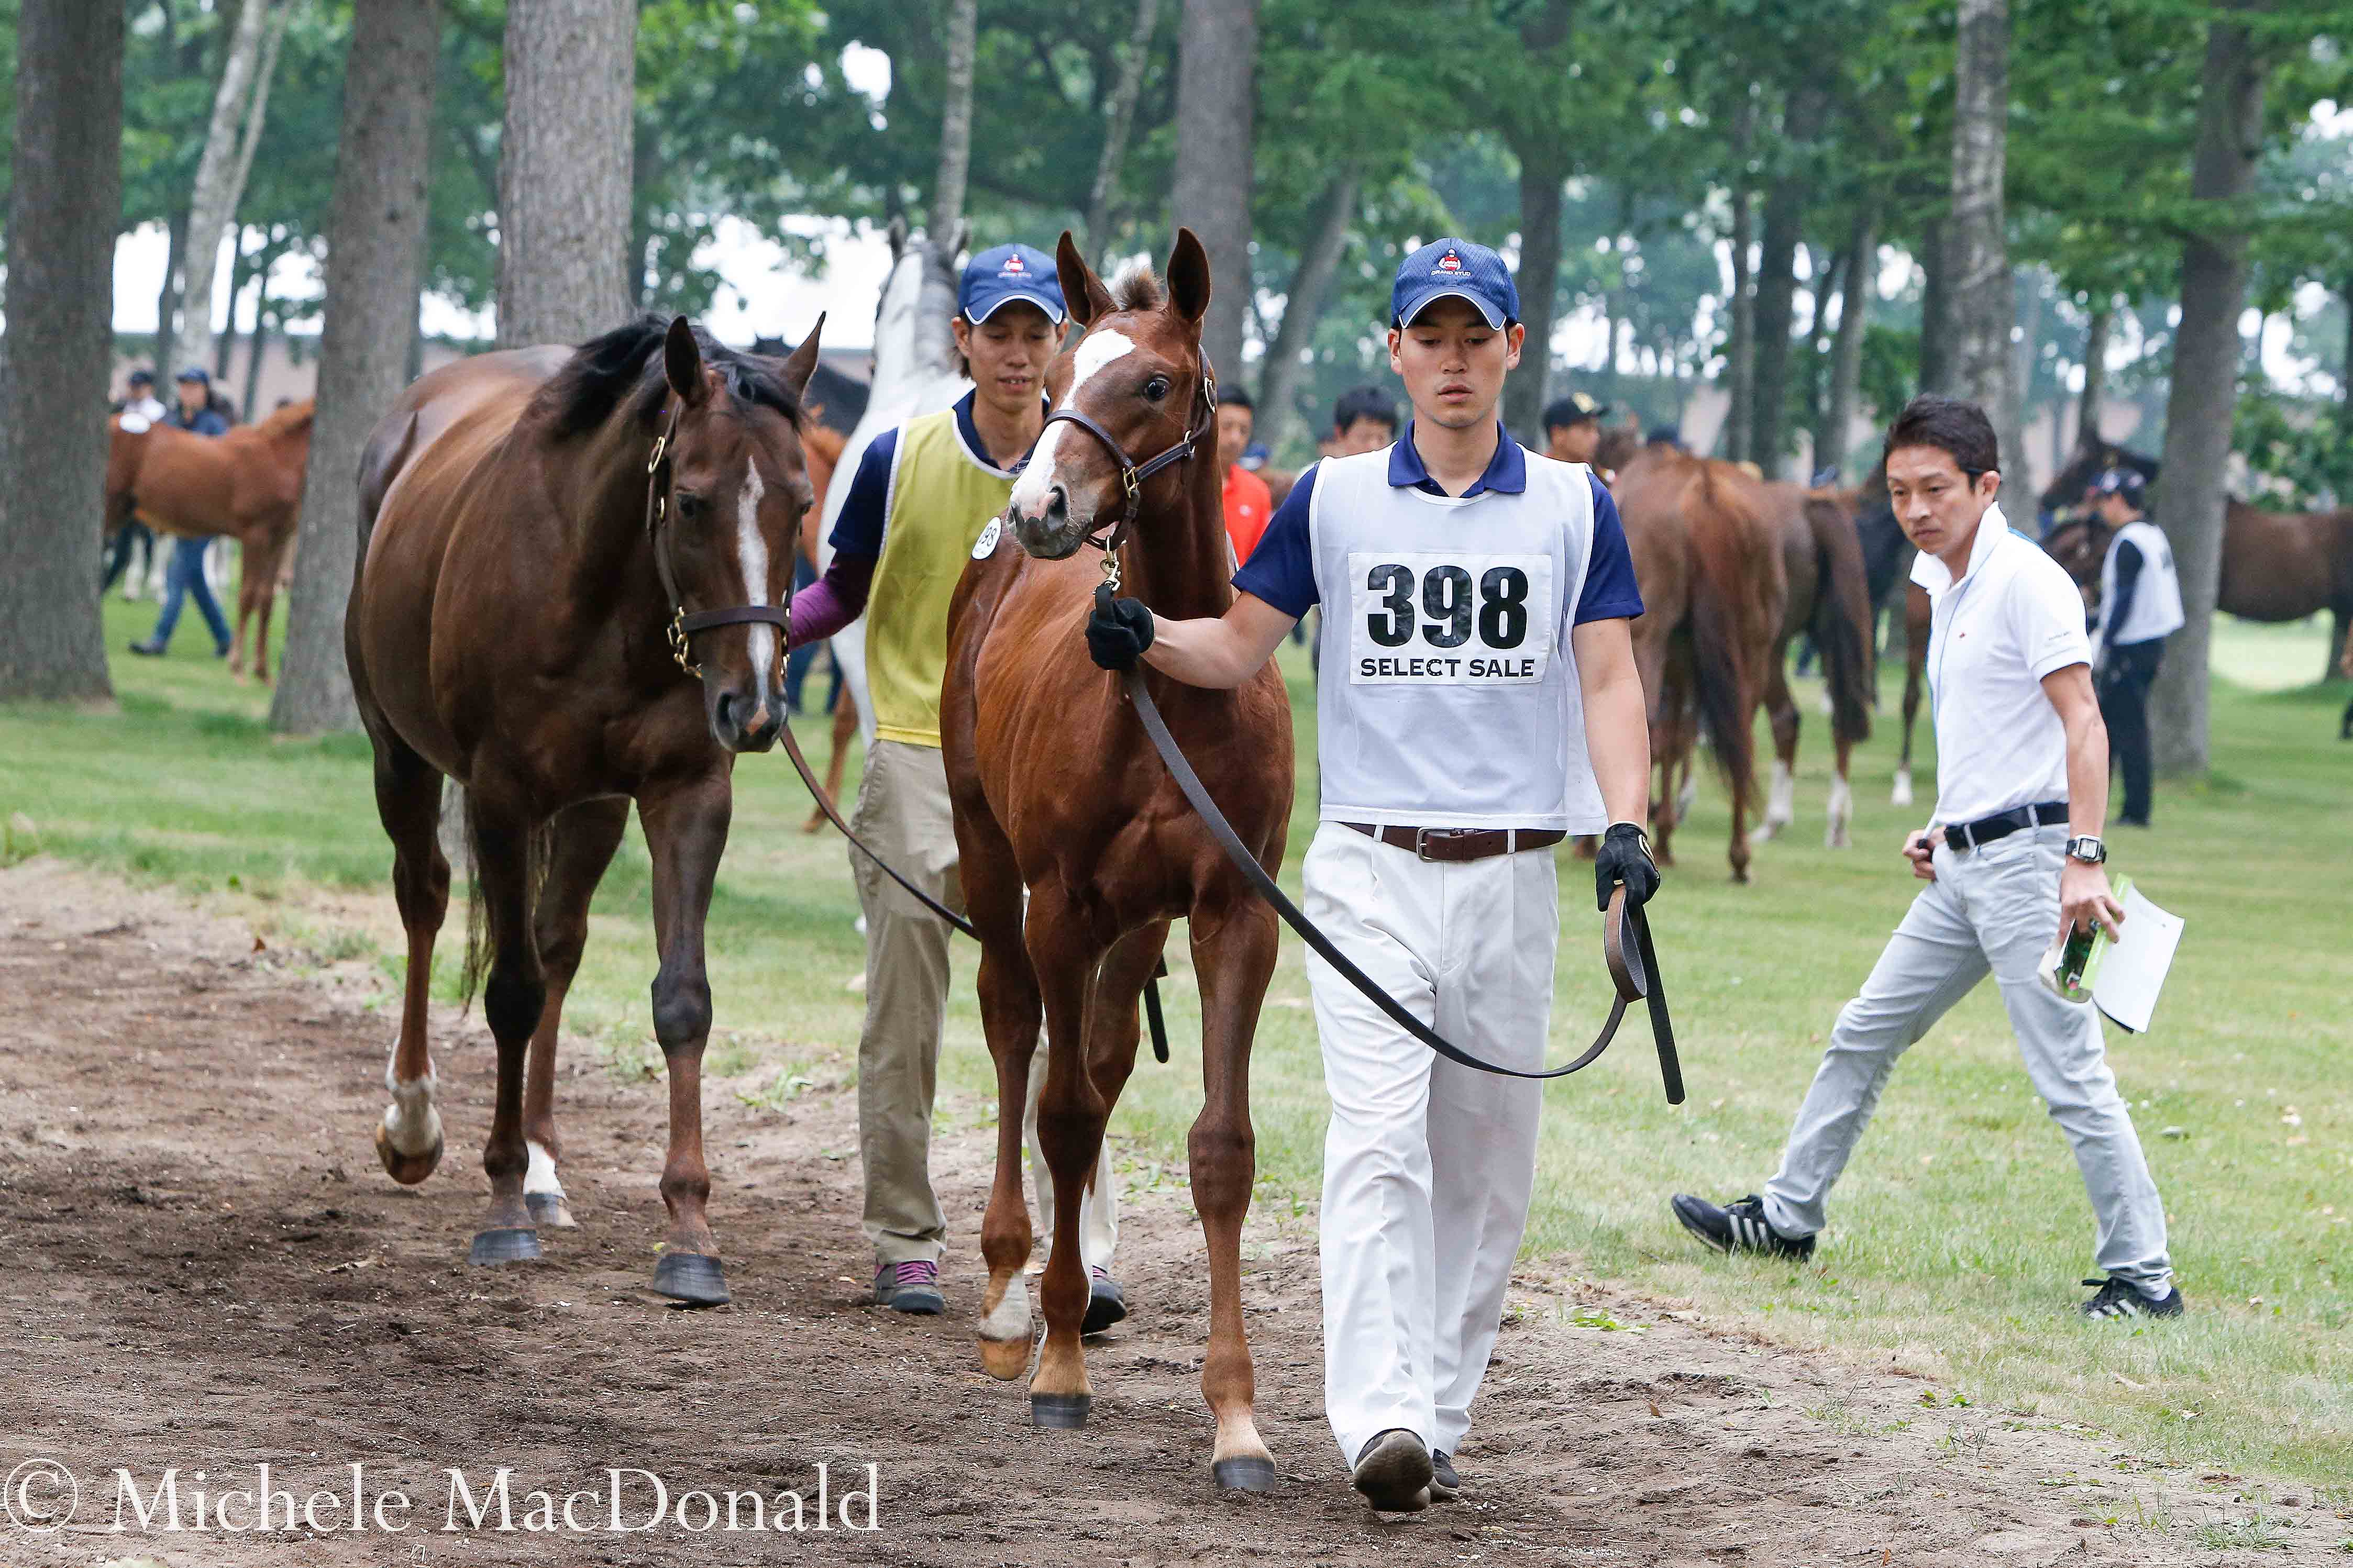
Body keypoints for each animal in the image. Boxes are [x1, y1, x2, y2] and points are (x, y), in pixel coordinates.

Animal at [104, 399, 313, 682]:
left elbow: (266, 599)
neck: (279, 458)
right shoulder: (255, 536)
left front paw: (262, 671)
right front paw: (237, 666)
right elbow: (248, 596)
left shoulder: (279, 540)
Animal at [343, 313, 828, 1307]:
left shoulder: (687, 795)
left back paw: (541, 1168)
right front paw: (496, 1210)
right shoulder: (499, 795)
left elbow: (680, 1000)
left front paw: (689, 1230)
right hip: (399, 757)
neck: (604, 596)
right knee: (425, 900)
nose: (756, 708)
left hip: (594, 808)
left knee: (558, 941)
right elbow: (510, 993)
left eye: (800, 503)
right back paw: (414, 1123)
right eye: (691, 502)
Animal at [936, 227, 1289, 1495]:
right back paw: (1012, 1289)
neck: (1167, 685)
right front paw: (1056, 1368)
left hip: (1138, 925)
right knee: (1014, 1036)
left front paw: (1236, 1421)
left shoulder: (1235, 912)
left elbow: (1219, 1149)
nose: (1040, 503)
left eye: (1152, 383)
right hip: (992, 861)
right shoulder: (1060, 906)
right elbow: (1061, 1113)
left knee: (1098, 1051)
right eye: (1051, 380)